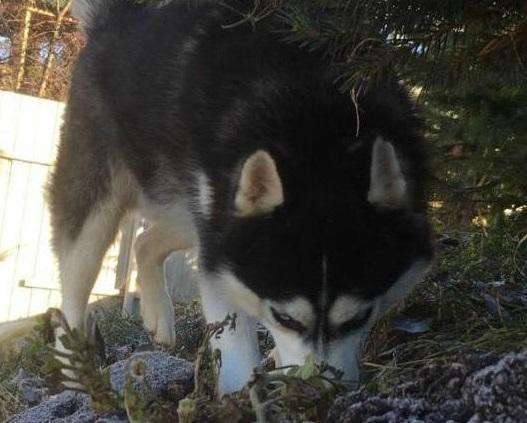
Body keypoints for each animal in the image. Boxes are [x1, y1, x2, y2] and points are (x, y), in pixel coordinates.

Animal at [48, 0, 434, 394]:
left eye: (361, 317)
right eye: (284, 318)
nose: (317, 393)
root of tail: (115, 20)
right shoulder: (222, 267)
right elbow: (235, 347)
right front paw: (243, 394)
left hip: (200, 212)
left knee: (145, 242)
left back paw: (158, 315)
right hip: (98, 205)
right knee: (73, 291)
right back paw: (76, 371)